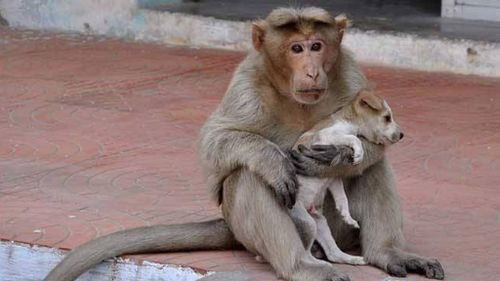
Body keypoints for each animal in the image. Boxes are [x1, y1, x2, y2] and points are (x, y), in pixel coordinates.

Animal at [44, 7, 446, 280]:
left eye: (317, 45)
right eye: (296, 48)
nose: (312, 70)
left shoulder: (349, 70)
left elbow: (372, 149)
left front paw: (334, 158)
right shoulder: (247, 81)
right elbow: (216, 144)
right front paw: (279, 160)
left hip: (337, 229)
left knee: (372, 170)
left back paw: (386, 253)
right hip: (261, 229)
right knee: (248, 176)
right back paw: (301, 264)